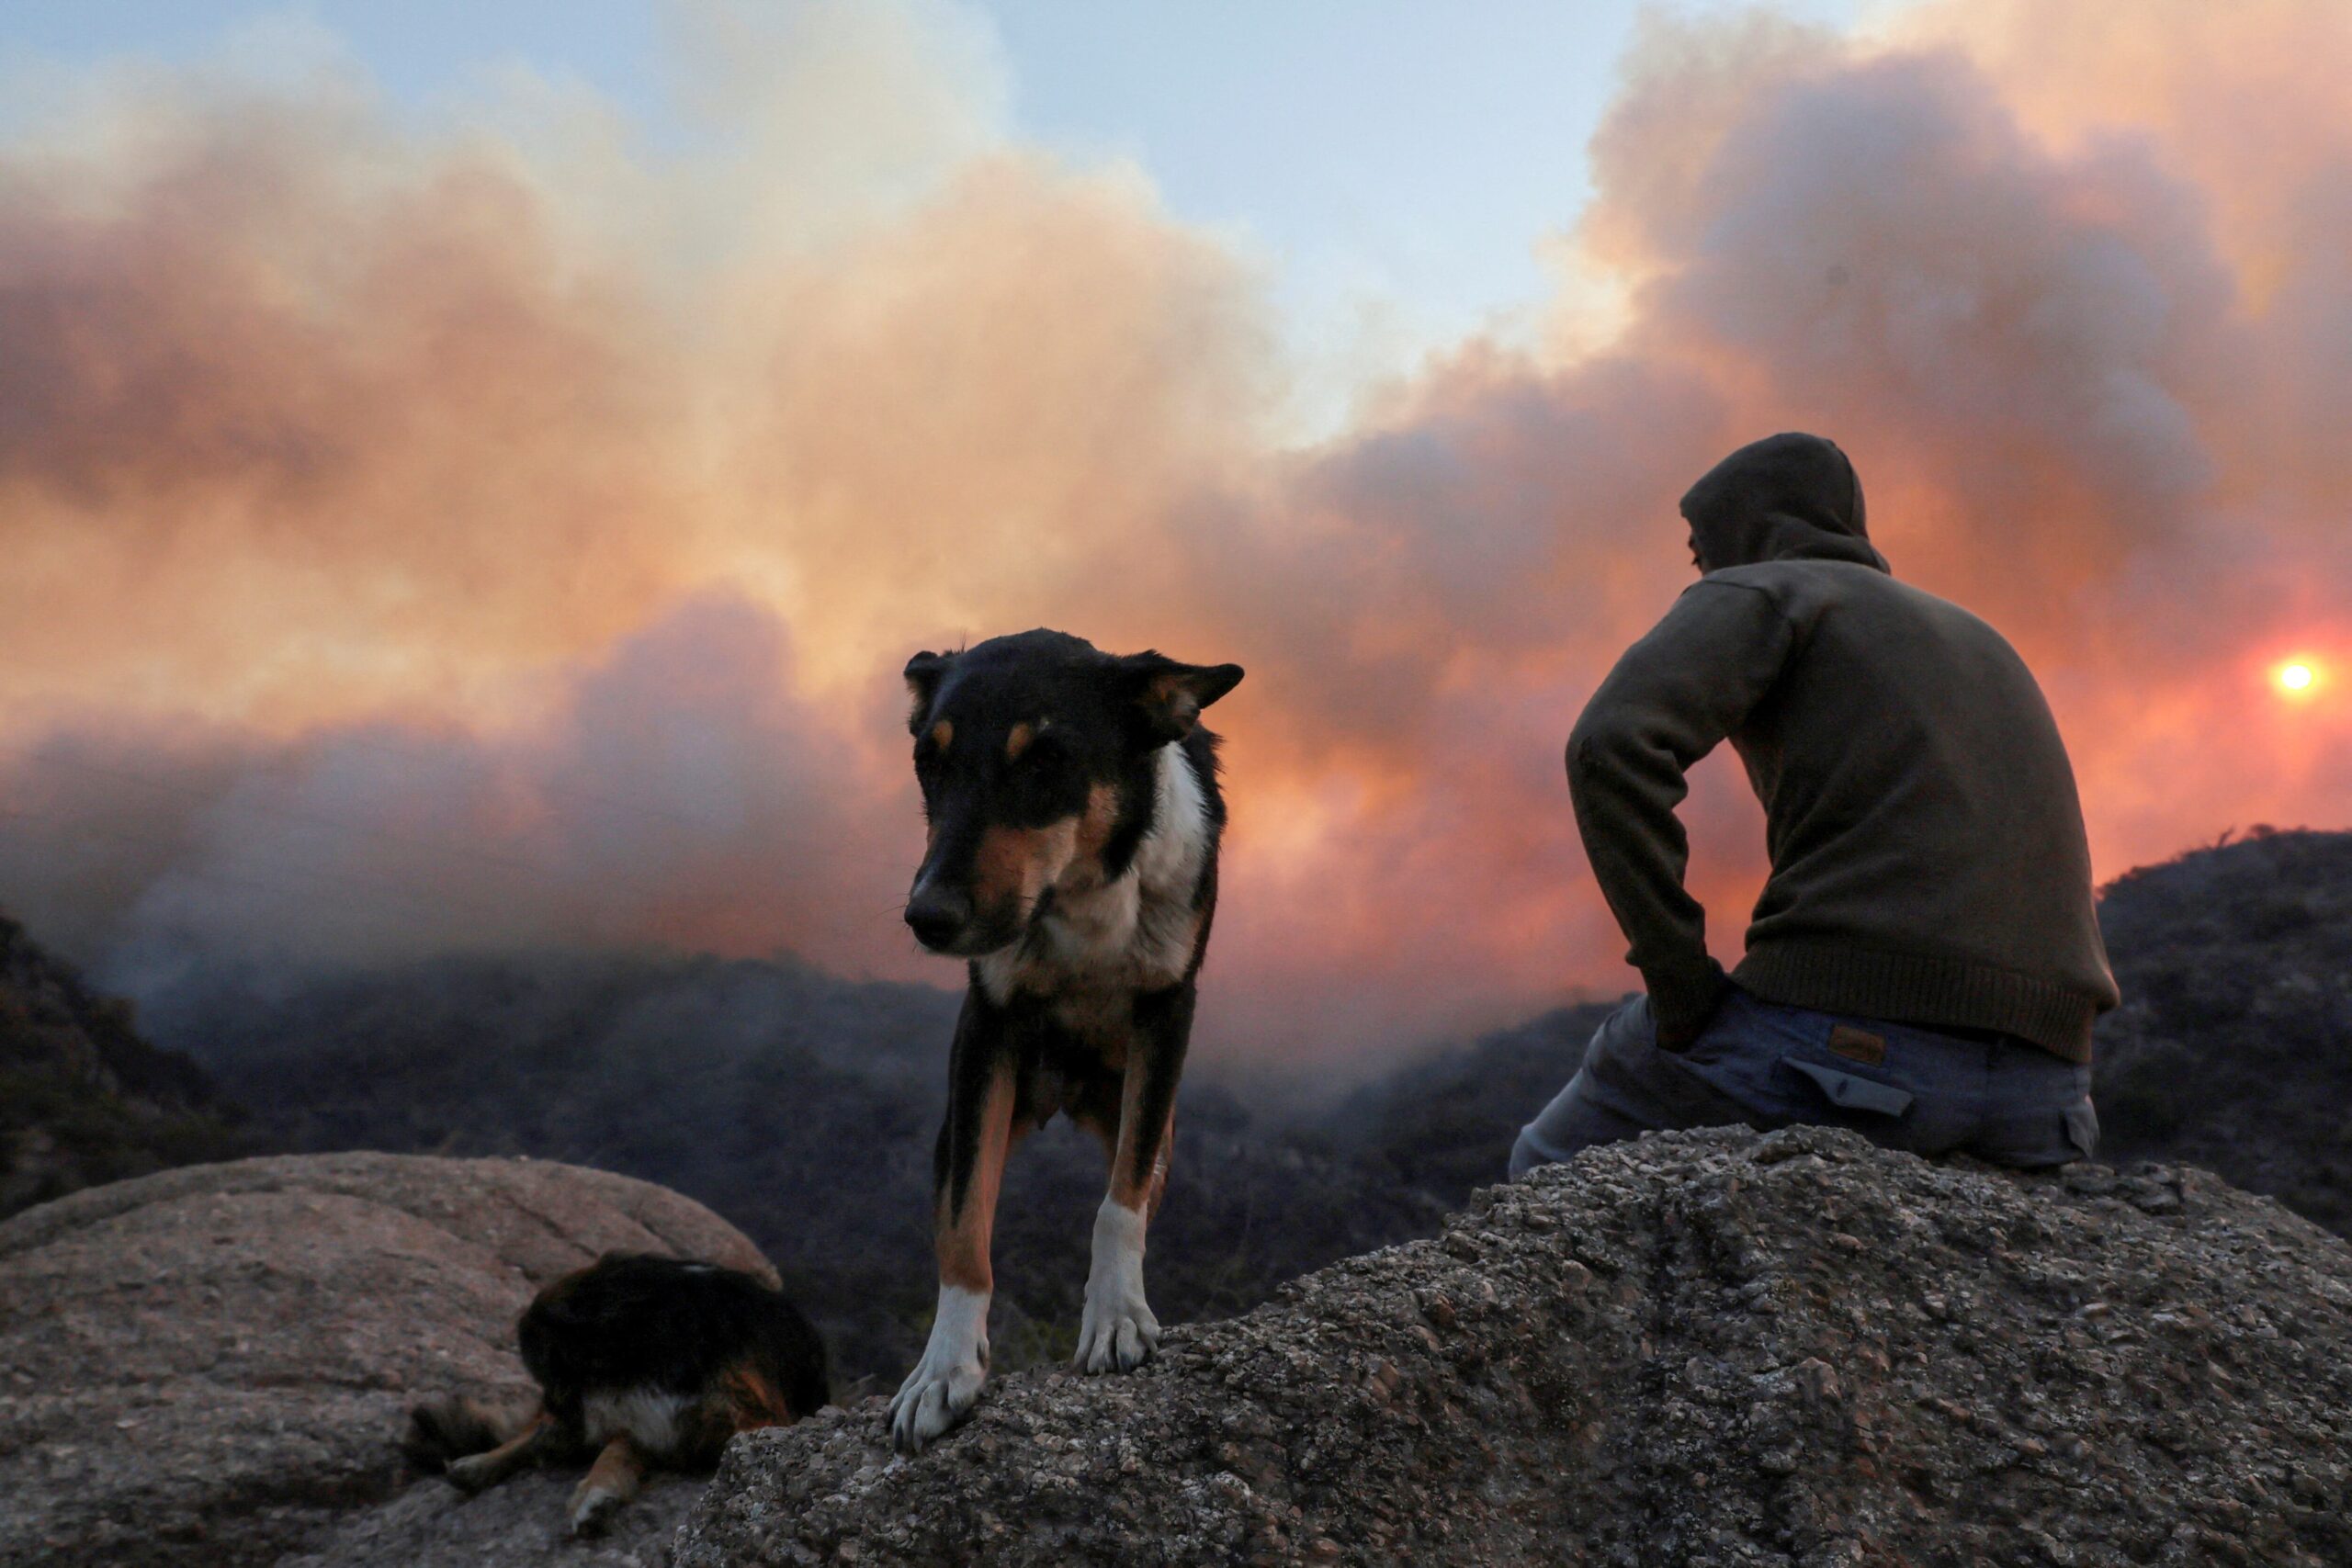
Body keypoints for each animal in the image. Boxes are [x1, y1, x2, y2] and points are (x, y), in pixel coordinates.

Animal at [409, 1259, 832, 1541]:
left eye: (550, 1369)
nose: (552, 1415)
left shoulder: (751, 1417)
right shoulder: (649, 1421)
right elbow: (615, 1449)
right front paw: (596, 1492)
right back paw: (478, 1463)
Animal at [884, 620, 1250, 1448]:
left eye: (1045, 760)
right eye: (929, 760)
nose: (927, 918)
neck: (1080, 895)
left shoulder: (1167, 1011)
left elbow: (1120, 1199)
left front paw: (1116, 1316)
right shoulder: (986, 1031)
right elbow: (964, 1223)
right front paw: (943, 1368)